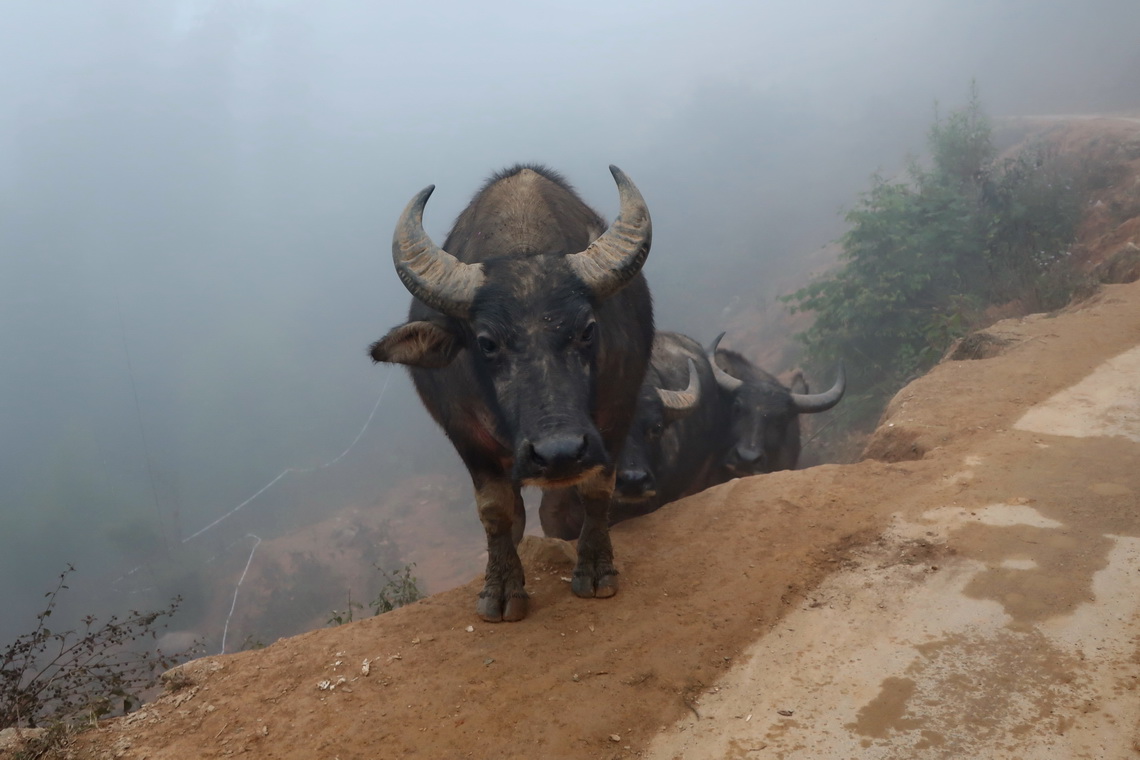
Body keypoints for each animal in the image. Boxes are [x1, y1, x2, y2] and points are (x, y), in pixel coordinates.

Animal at [364, 164, 652, 619]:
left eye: (588, 329)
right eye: (486, 343)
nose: (559, 452)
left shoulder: (613, 419)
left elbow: (595, 491)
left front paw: (595, 569)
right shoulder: (467, 436)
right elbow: (496, 510)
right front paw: (501, 588)